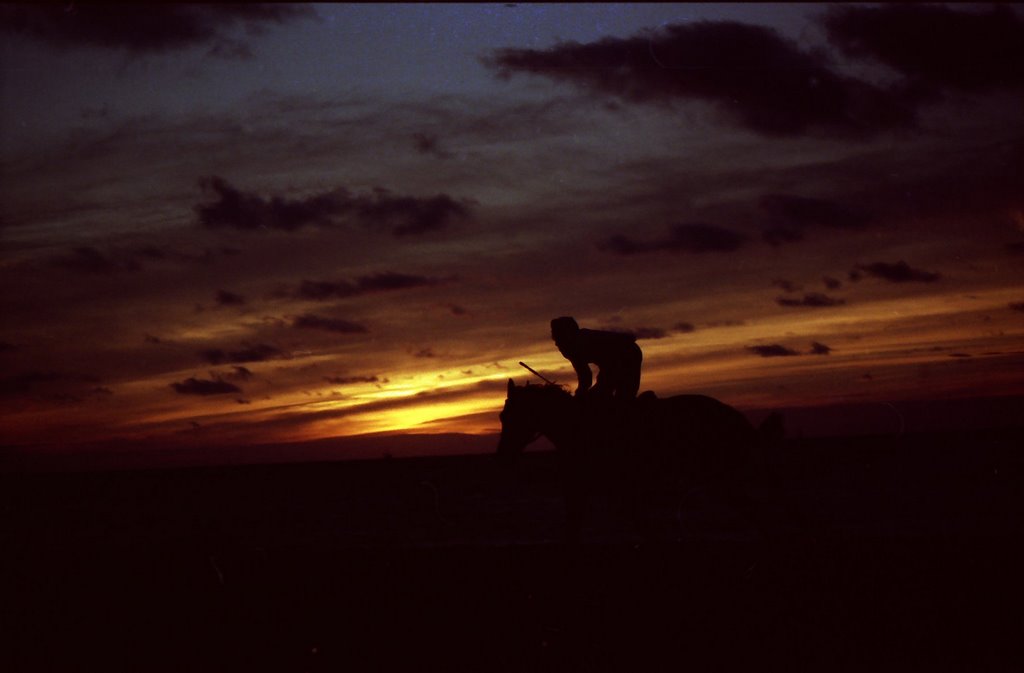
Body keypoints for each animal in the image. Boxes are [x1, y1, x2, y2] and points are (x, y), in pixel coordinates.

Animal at [497, 376, 782, 540]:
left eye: (514, 416)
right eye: (502, 416)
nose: (503, 454)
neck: (578, 425)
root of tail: (735, 418)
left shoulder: (612, 490)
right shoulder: (600, 491)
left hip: (721, 479)